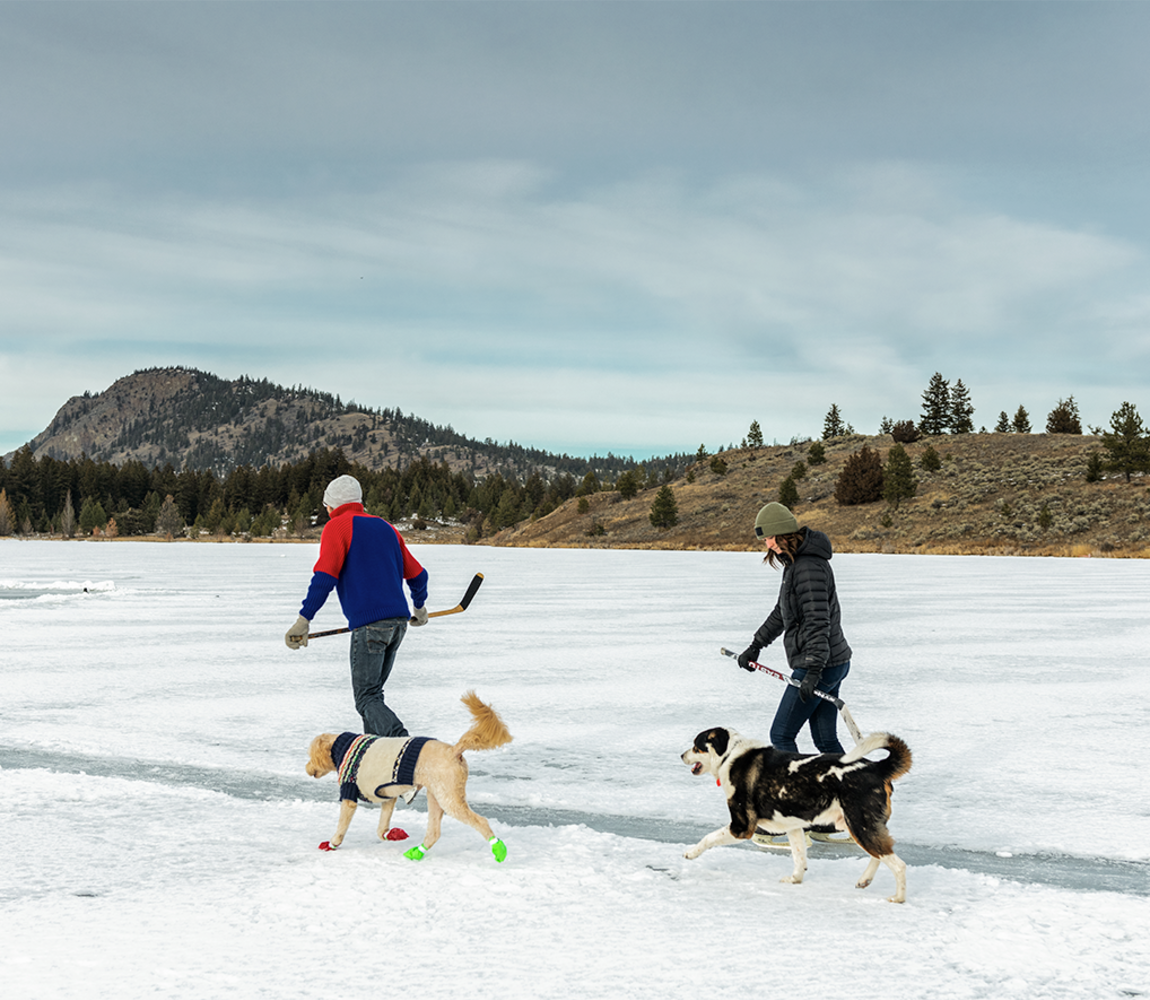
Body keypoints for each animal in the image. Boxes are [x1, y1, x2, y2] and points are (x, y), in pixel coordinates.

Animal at [680, 731, 915, 905]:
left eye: (696, 746)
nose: (681, 755)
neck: (730, 756)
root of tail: (877, 767)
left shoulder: (741, 826)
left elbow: (708, 838)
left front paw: (690, 853)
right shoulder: (792, 826)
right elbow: (799, 857)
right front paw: (795, 879)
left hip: (859, 824)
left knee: (898, 864)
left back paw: (898, 898)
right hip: (858, 825)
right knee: (881, 853)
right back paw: (865, 880)